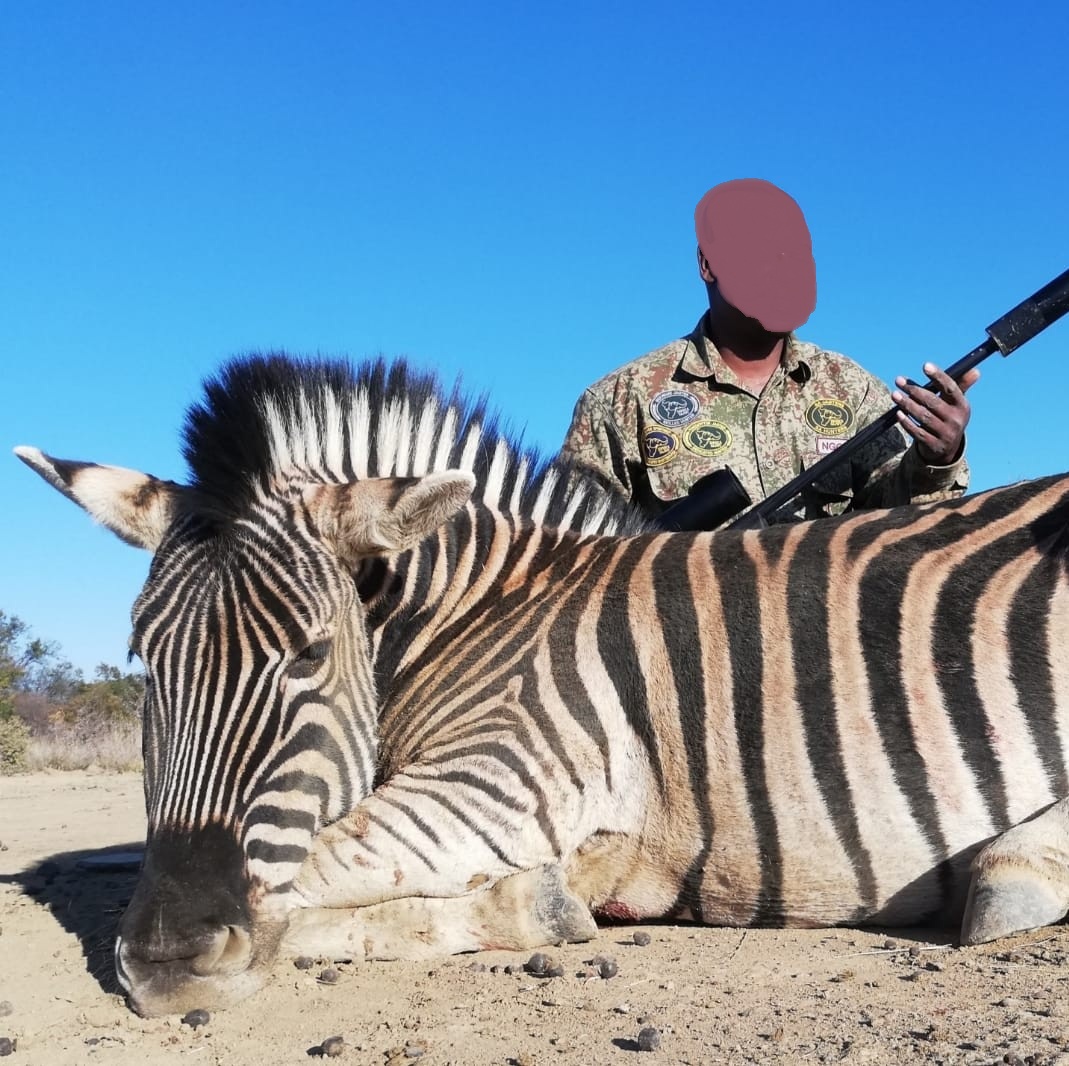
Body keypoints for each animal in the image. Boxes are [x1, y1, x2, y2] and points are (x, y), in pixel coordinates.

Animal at [15, 352, 1069, 1018]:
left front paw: (545, 900)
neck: (481, 613)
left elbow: (305, 877)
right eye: (143, 658)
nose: (163, 963)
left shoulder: (499, 776)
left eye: (309, 655)